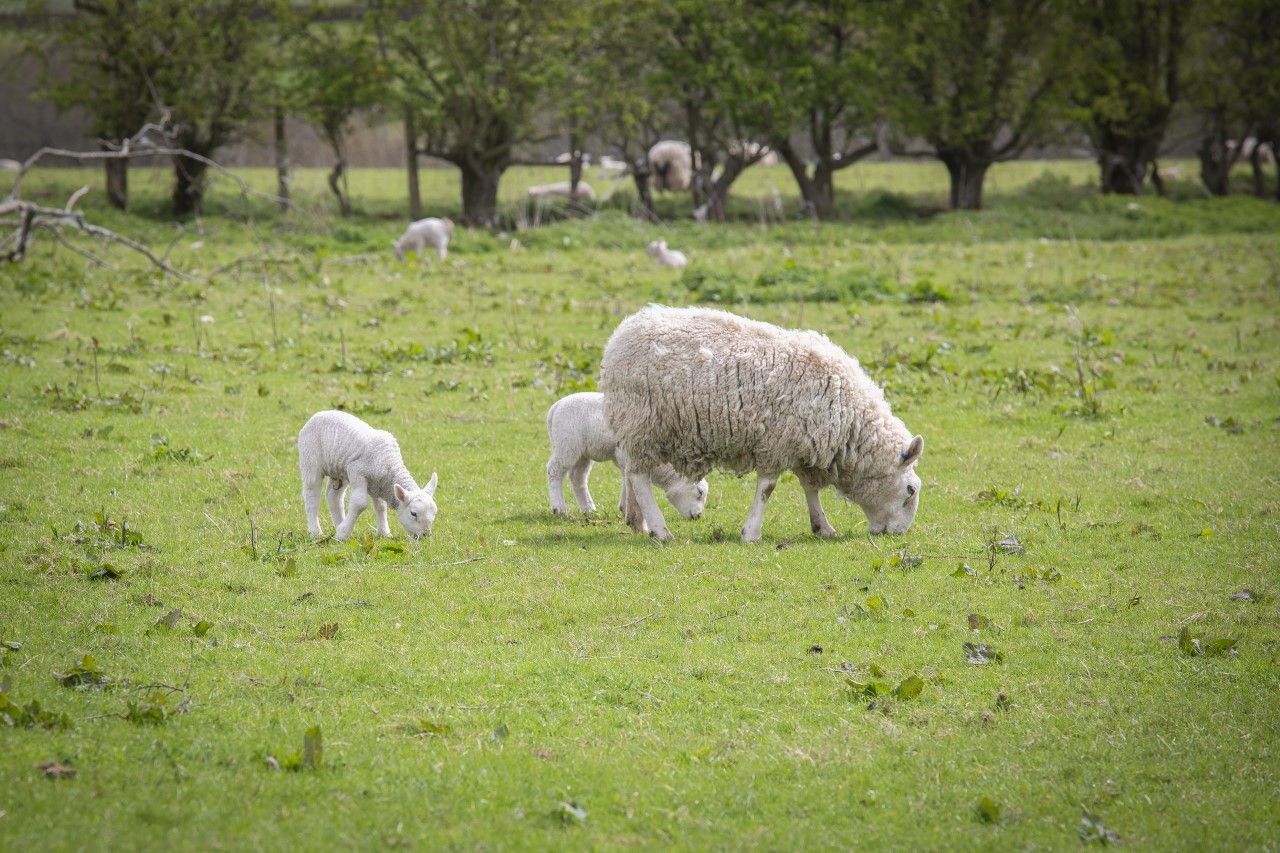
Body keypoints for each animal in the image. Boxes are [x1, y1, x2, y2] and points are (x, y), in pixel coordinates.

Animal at [297, 410, 438, 541]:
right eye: (413, 513)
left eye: (434, 513)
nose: (425, 535)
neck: (389, 464)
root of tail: (319, 413)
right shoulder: (356, 470)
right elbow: (360, 502)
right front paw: (342, 534)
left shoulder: (379, 483)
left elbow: (381, 507)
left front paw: (384, 533)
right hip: (310, 458)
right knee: (311, 494)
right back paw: (316, 532)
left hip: (339, 469)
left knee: (334, 496)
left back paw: (339, 525)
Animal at [546, 391, 708, 519]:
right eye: (699, 492)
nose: (698, 516)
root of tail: (556, 406)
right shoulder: (626, 456)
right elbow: (628, 478)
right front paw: (626, 508)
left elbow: (626, 478)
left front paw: (625, 508)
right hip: (567, 443)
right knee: (554, 470)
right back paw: (559, 508)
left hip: (583, 451)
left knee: (578, 476)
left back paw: (589, 509)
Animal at [599, 306, 924, 543]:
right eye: (910, 490)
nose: (897, 534)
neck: (848, 418)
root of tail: (618, 337)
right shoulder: (776, 442)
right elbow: (767, 488)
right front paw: (751, 532)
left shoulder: (802, 444)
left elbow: (810, 489)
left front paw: (822, 527)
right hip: (642, 423)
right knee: (639, 477)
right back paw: (660, 530)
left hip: (635, 428)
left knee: (631, 473)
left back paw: (637, 522)